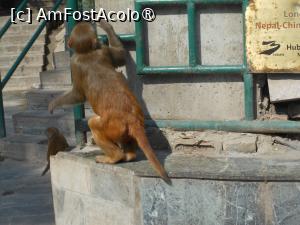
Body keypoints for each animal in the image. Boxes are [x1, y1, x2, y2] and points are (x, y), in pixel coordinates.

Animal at [49, 20, 171, 183]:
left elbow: (78, 95)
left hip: (111, 126)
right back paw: (129, 156)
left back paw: (115, 157)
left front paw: (54, 103)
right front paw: (107, 27)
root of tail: (132, 119)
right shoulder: (103, 50)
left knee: (93, 124)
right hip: (127, 126)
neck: (88, 52)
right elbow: (120, 55)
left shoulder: (74, 62)